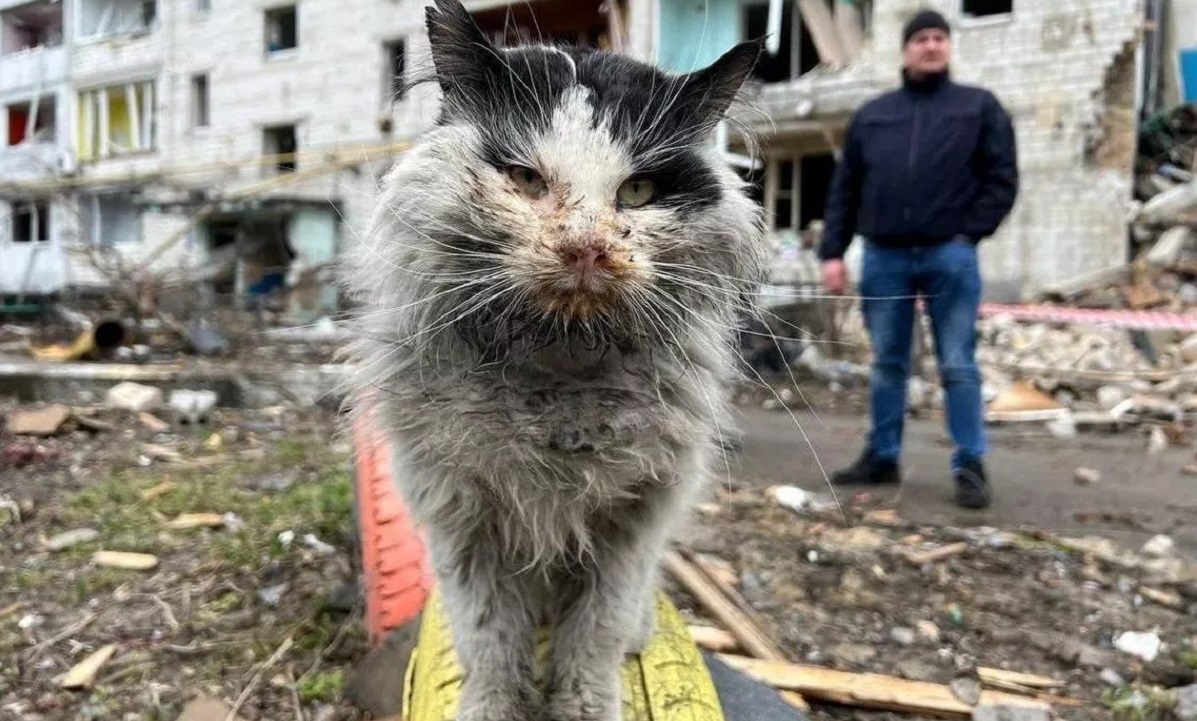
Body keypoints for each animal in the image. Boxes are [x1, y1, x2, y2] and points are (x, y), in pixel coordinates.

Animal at [337, 2, 766, 713]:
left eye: (639, 191)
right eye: (523, 179)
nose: (586, 247)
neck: (557, 384)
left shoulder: (634, 524)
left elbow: (593, 639)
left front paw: (585, 705)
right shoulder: (462, 522)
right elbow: (490, 645)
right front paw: (489, 707)